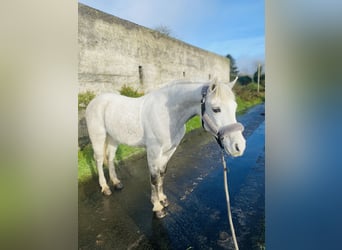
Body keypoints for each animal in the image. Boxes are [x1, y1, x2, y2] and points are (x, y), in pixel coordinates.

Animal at [85, 79, 246, 218]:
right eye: (216, 109)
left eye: (235, 107)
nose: (239, 146)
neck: (167, 115)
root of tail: (94, 102)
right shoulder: (153, 151)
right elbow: (154, 178)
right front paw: (157, 208)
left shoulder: (169, 150)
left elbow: (162, 174)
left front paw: (163, 199)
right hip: (98, 137)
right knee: (99, 160)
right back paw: (105, 188)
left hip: (113, 138)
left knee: (110, 158)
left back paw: (116, 183)